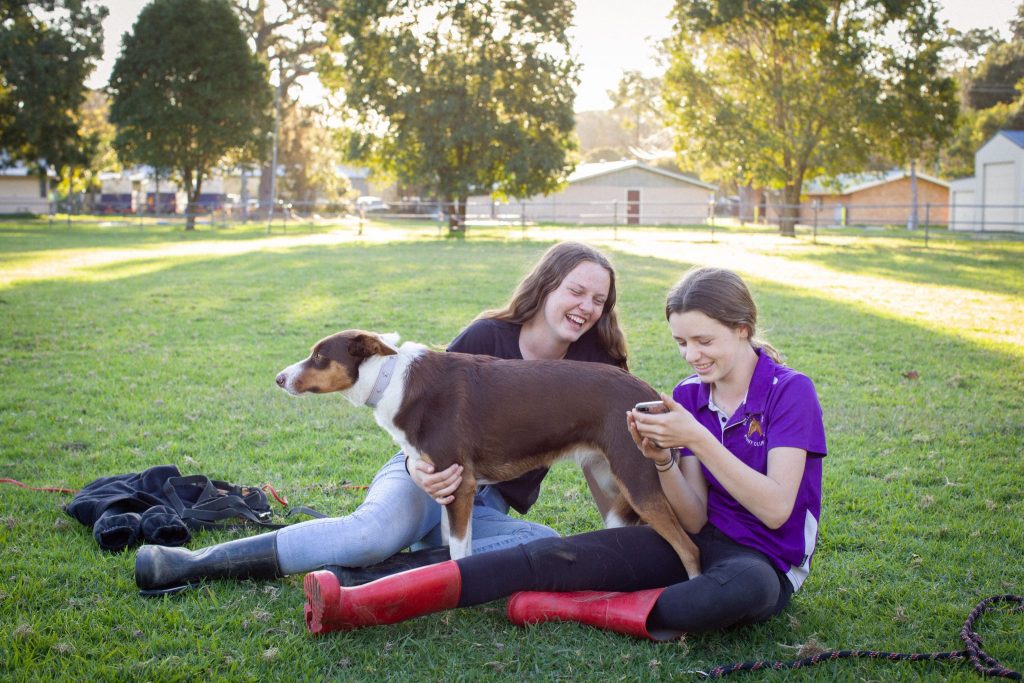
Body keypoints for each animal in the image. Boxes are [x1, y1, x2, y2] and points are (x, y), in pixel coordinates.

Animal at [276, 329, 700, 577]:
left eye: (319, 357)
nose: (279, 378)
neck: (390, 378)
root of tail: (649, 394)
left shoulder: (460, 483)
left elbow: (460, 555)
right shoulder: (447, 486)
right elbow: (451, 545)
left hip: (637, 480)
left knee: (689, 548)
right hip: (610, 480)